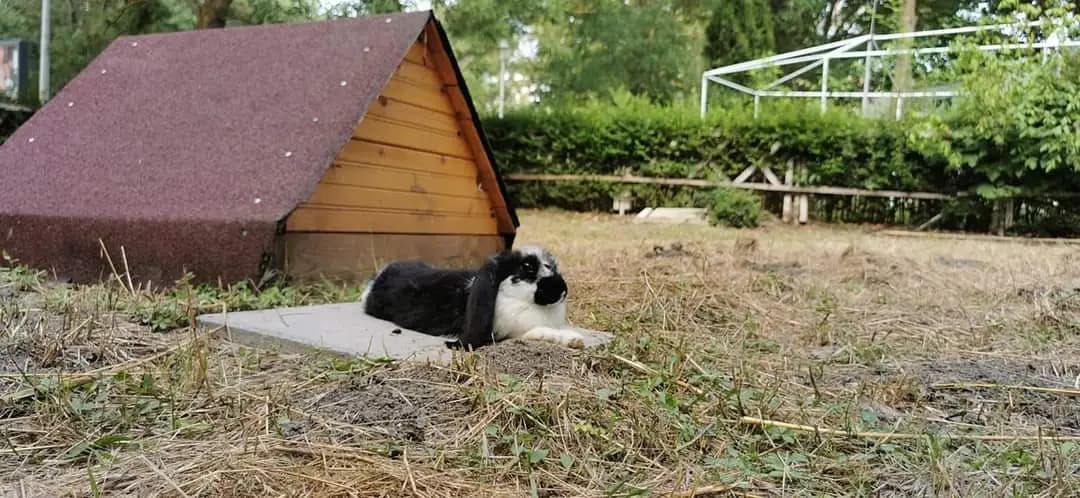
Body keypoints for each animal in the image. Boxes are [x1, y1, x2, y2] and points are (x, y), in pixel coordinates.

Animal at [360, 245, 586, 350]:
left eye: (552, 265)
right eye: (528, 267)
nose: (563, 290)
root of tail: (376, 280)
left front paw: (575, 340)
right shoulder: (511, 333)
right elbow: (540, 332)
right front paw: (574, 340)